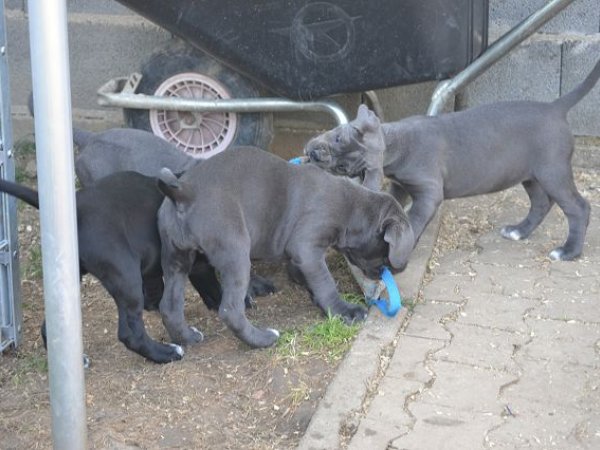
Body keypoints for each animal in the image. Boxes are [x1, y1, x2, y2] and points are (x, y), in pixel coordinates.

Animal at [0, 172, 269, 363]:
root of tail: (78, 207)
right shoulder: (200, 265)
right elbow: (214, 286)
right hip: (125, 276)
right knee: (130, 333)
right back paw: (165, 353)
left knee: (51, 326)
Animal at [155, 146, 414, 348]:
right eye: (386, 256)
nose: (389, 273)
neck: (352, 208)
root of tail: (185, 192)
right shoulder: (307, 248)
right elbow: (326, 283)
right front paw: (344, 311)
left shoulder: (301, 257)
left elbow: (308, 277)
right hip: (235, 251)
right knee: (230, 310)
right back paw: (263, 339)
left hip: (175, 256)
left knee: (169, 306)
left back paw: (187, 338)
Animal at [304, 60, 600, 261]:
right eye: (337, 137)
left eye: (342, 165)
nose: (313, 153)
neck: (397, 142)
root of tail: (555, 107)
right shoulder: (400, 185)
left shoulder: (428, 193)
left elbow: (413, 220)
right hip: (530, 173)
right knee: (541, 203)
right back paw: (519, 231)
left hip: (553, 171)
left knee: (578, 207)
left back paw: (568, 251)